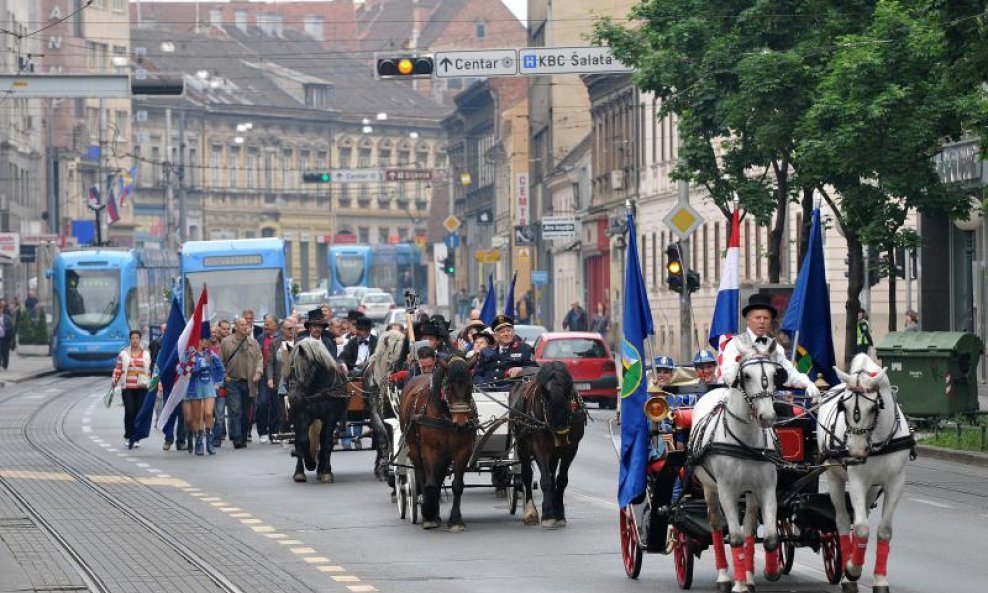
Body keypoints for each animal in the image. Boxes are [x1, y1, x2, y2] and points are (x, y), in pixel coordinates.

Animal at [288, 340, 350, 484]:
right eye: (291, 369)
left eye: (304, 369)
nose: (293, 398)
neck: (319, 388)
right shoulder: (302, 415)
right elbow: (303, 440)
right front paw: (302, 470)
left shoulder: (330, 416)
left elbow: (326, 441)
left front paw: (326, 472)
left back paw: (322, 469)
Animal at [402, 354, 478, 528]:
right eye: (448, 388)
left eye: (470, 387)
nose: (461, 424)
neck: (446, 415)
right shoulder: (428, 449)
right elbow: (429, 484)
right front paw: (428, 512)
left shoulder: (462, 450)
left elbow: (457, 485)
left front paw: (455, 520)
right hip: (414, 447)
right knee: (422, 474)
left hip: (445, 455)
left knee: (439, 475)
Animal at [510, 360, 588, 528]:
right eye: (545, 405)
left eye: (568, 405)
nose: (560, 436)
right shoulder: (540, 447)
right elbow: (545, 480)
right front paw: (548, 515)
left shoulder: (571, 449)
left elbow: (561, 479)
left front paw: (559, 513)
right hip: (522, 446)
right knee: (527, 475)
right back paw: (531, 511)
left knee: (552, 474)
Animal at [692, 342, 784, 592]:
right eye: (747, 375)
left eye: (775, 374)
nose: (767, 416)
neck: (745, 442)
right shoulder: (726, 491)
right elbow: (734, 538)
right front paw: (738, 584)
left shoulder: (767, 489)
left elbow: (770, 537)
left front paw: (771, 571)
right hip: (710, 489)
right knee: (716, 525)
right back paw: (725, 576)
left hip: (750, 493)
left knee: (750, 527)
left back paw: (750, 576)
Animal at [816, 354, 916, 588]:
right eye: (843, 406)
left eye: (874, 408)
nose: (855, 451)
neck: (878, 440)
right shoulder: (857, 481)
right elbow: (861, 528)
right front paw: (852, 569)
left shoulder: (896, 483)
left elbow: (884, 530)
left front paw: (880, 578)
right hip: (834, 478)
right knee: (843, 520)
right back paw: (847, 568)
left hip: (872, 487)